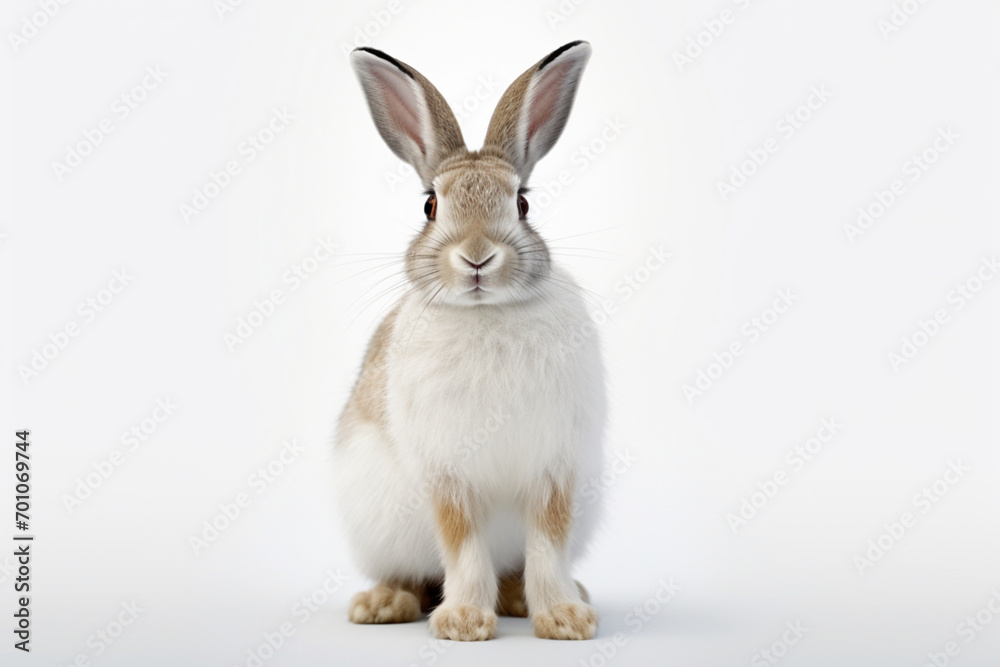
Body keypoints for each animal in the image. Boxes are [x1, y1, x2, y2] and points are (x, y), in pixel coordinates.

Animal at [333, 40, 605, 641]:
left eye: (522, 204)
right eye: (430, 206)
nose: (477, 256)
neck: (485, 314)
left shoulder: (555, 470)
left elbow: (548, 542)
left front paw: (565, 619)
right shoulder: (448, 476)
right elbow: (461, 545)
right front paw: (462, 624)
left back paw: (526, 598)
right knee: (411, 573)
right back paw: (383, 604)